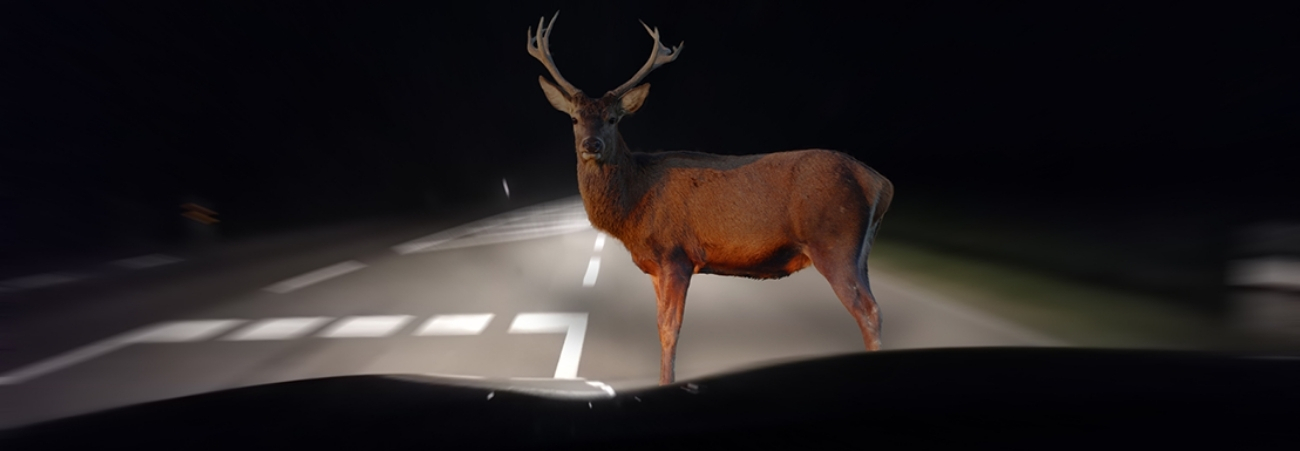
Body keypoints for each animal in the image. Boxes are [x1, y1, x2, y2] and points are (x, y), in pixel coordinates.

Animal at [527, 12, 894, 385]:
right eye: (575, 118)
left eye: (613, 119)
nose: (592, 144)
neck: (633, 204)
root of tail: (879, 183)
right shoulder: (655, 266)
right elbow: (659, 325)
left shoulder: (676, 254)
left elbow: (669, 329)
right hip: (859, 251)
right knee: (875, 308)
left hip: (834, 241)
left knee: (868, 311)